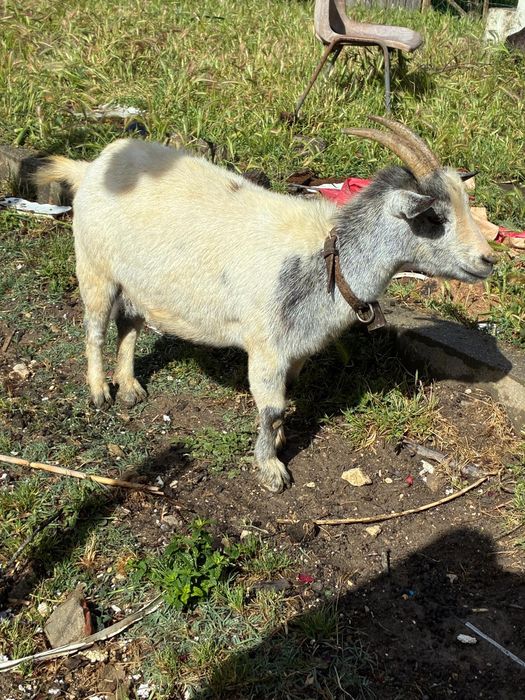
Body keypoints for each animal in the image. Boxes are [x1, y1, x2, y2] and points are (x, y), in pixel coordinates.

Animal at [36, 116, 496, 493]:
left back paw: (130, 387)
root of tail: (93, 166)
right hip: (94, 265)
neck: (326, 256)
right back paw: (100, 392)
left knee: (129, 324)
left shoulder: (296, 349)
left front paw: (276, 441)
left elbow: (284, 400)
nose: (488, 259)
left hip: (136, 281)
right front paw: (271, 469)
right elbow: (272, 407)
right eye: (433, 218)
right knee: (95, 328)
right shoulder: (266, 347)